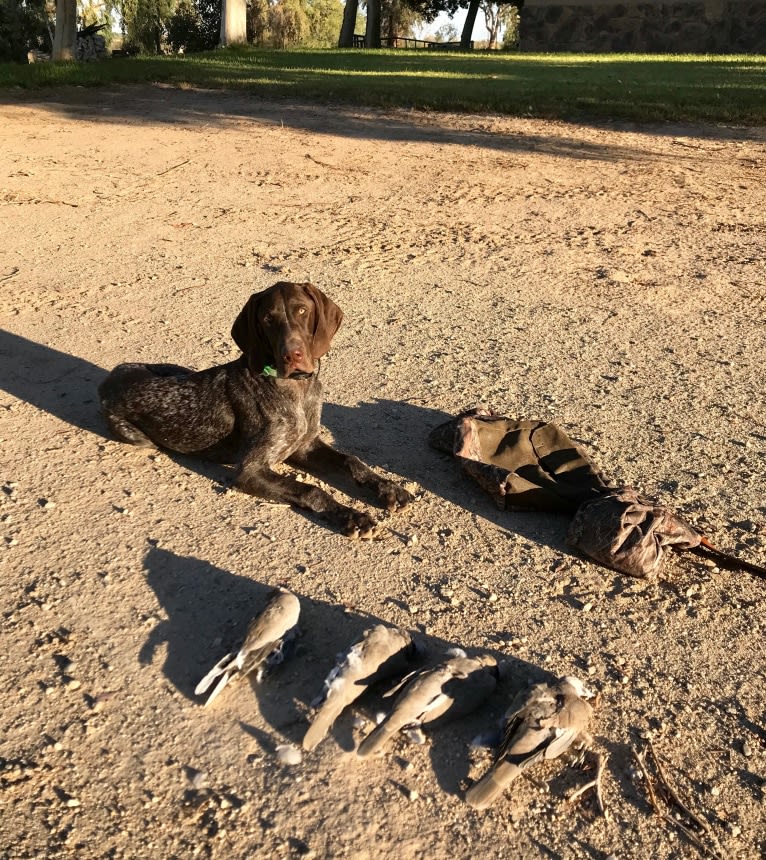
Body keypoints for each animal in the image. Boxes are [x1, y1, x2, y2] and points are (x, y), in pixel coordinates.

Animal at [101, 282, 416, 536]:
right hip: (137, 437)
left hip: (176, 369)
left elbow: (352, 461)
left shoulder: (305, 446)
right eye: (267, 319)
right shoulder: (249, 470)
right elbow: (310, 489)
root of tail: (113, 376)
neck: (297, 389)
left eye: (302, 311)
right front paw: (352, 516)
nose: (292, 355)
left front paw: (388, 488)